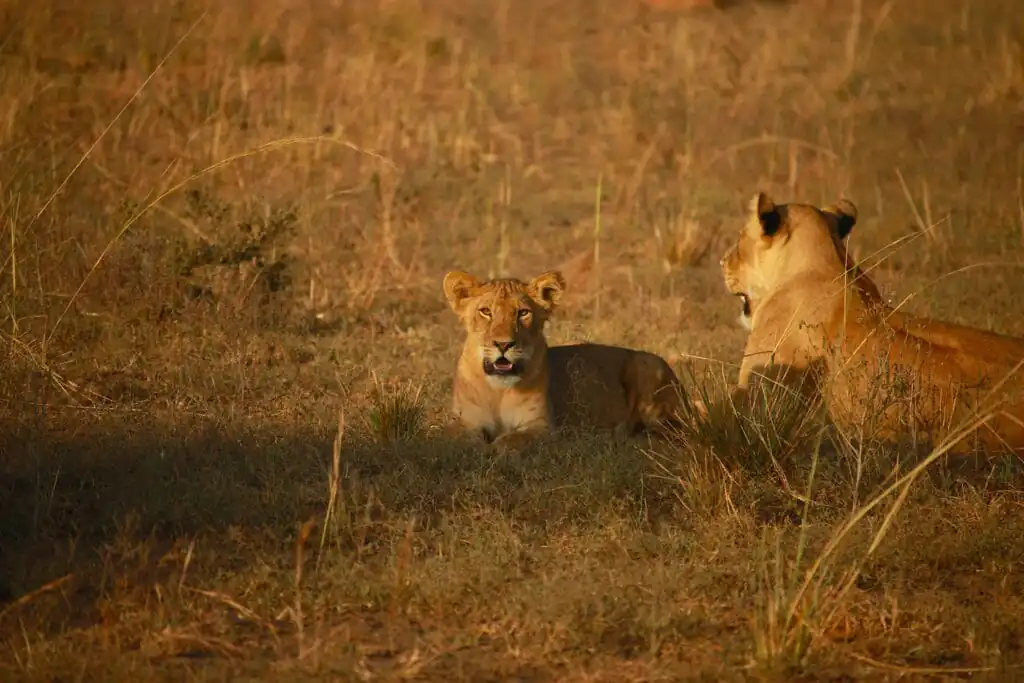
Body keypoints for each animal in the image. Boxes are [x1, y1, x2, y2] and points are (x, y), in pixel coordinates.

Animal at [442, 269, 687, 450]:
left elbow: (510, 440)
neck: (498, 392)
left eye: (523, 313)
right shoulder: (465, 421)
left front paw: (492, 449)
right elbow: (458, 439)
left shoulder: (543, 428)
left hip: (648, 368)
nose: (503, 344)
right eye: (485, 311)